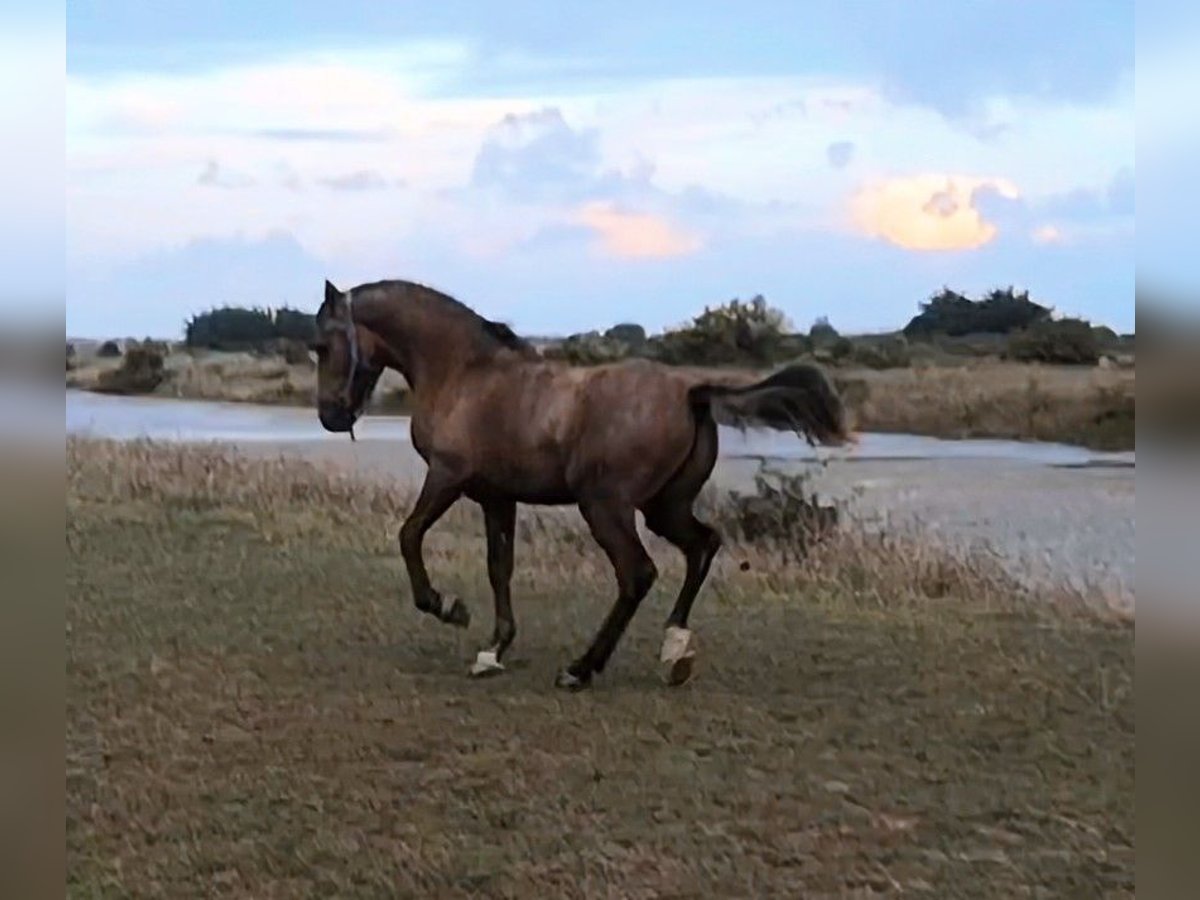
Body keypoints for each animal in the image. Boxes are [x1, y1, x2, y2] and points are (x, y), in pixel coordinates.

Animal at [312, 278, 854, 696]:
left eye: (321, 346)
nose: (330, 416)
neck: (465, 374)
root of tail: (692, 392)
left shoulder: (448, 477)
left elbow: (409, 536)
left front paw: (449, 608)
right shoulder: (496, 496)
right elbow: (499, 567)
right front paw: (493, 650)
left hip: (606, 506)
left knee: (638, 573)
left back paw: (581, 669)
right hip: (664, 507)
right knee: (703, 545)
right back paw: (675, 650)